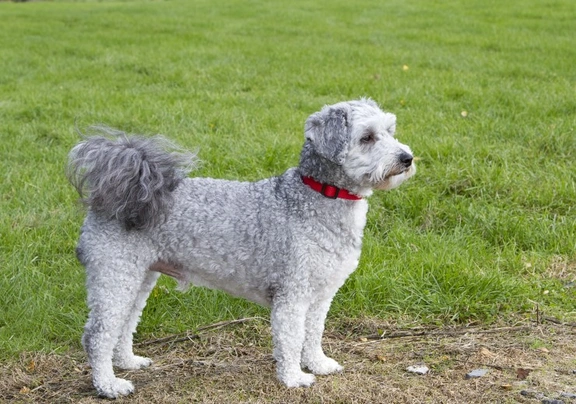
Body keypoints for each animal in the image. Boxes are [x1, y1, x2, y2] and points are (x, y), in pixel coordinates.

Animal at [67, 98, 414, 398]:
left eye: (390, 130)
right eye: (367, 137)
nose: (407, 158)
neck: (316, 197)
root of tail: (115, 194)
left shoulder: (321, 294)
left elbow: (313, 333)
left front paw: (318, 364)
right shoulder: (292, 295)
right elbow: (291, 339)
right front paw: (294, 378)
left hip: (138, 277)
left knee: (125, 324)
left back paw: (128, 362)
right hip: (115, 275)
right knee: (97, 336)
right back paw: (109, 385)